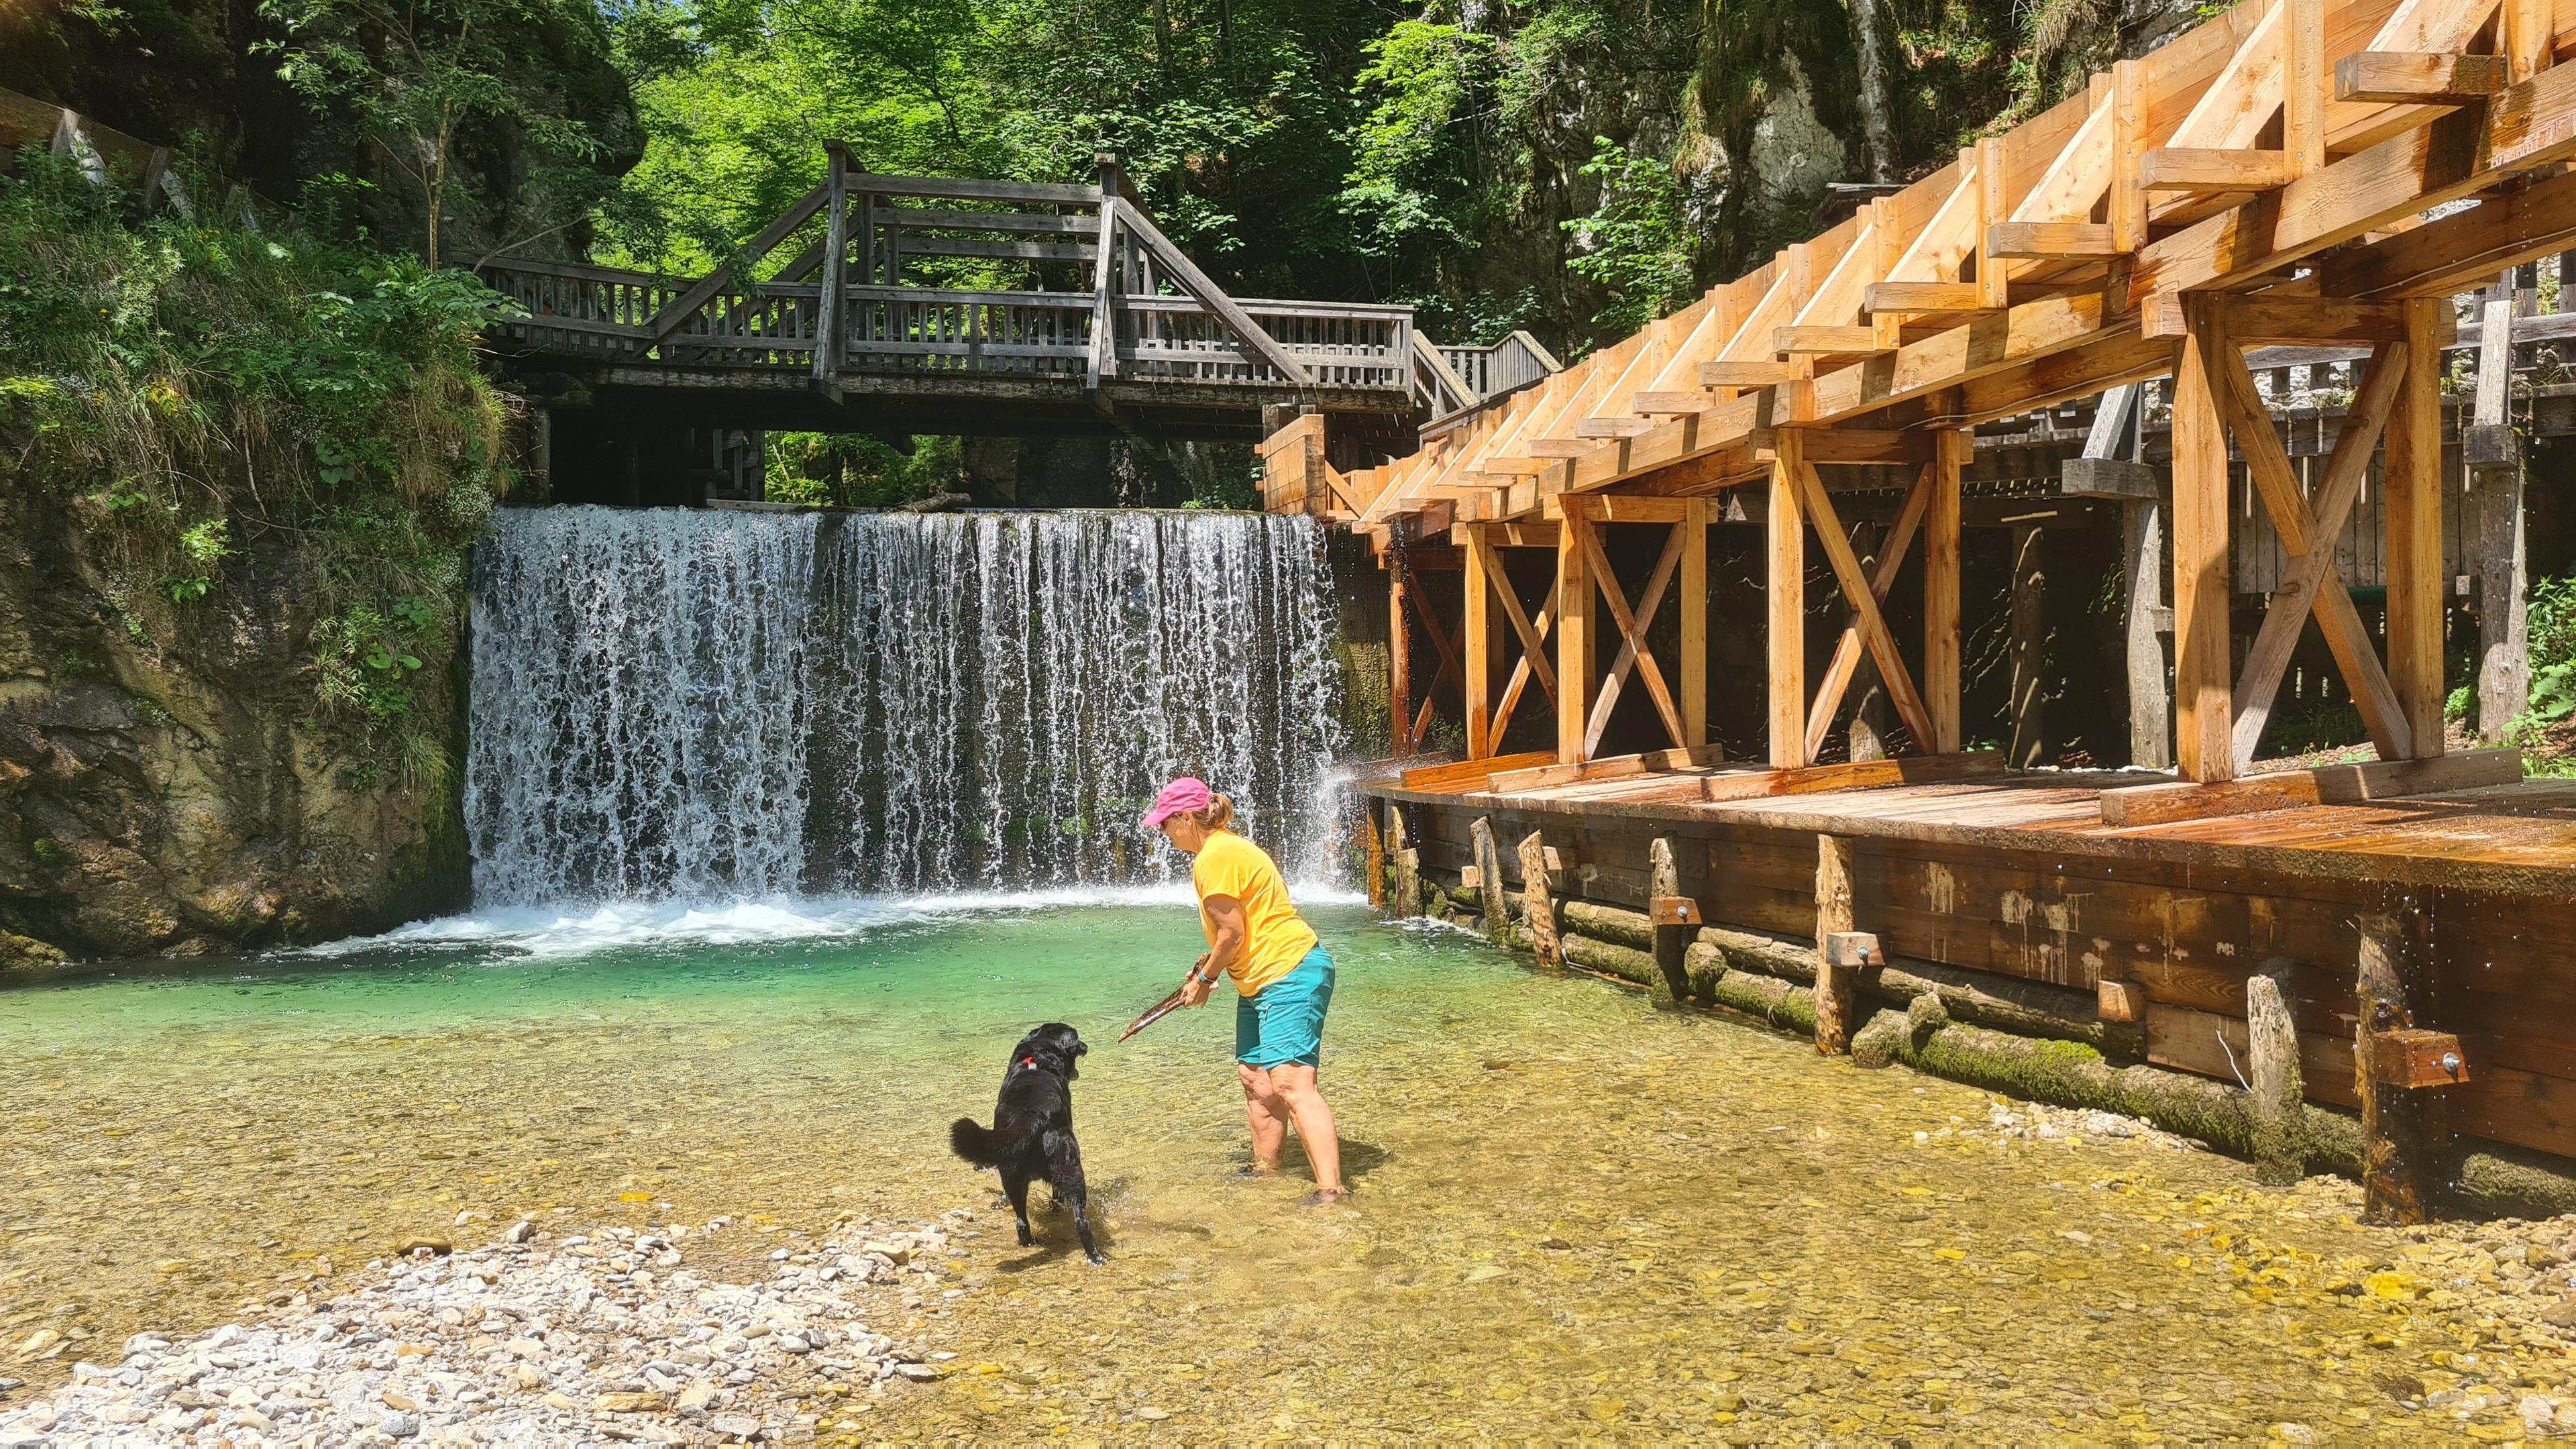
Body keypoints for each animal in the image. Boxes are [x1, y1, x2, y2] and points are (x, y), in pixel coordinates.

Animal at [953, 1016, 1102, 1263]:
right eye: (1077, 1039)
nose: (1086, 1047)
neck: (1038, 1057)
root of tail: (1031, 1115)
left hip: (1012, 1173)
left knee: (1022, 1222)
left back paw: (1031, 1242)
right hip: (1072, 1167)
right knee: (1081, 1220)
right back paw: (1096, 1256)